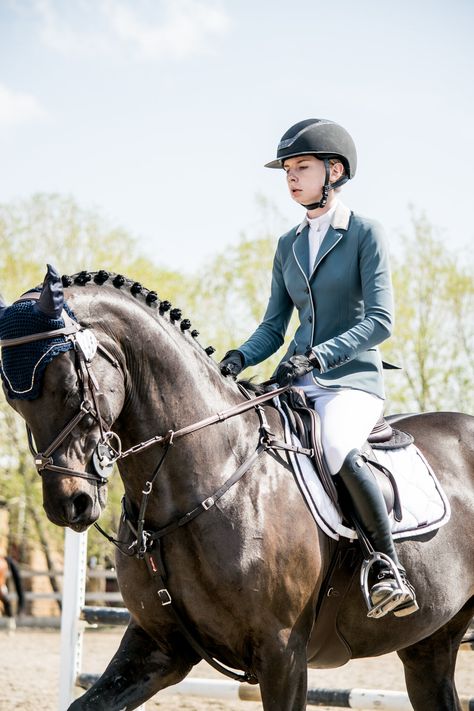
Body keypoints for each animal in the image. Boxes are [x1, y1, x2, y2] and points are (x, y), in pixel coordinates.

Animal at [0, 268, 474, 711]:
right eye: (15, 400)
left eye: (69, 385)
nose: (70, 504)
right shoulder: (158, 646)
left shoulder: (283, 653)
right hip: (429, 645)